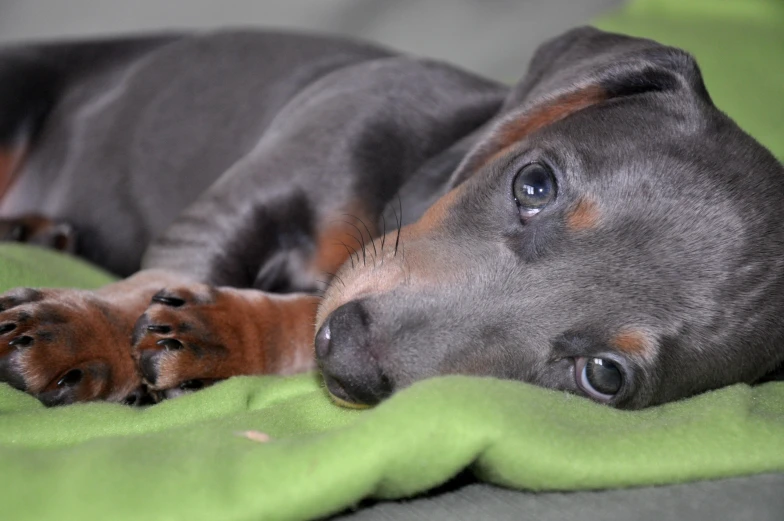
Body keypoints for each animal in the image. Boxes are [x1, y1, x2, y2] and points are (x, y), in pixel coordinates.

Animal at [1, 26, 784, 408]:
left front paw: (226, 334)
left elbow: (305, 312)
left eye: (604, 375)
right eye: (534, 183)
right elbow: (168, 269)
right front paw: (86, 332)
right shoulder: (269, 179)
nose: (347, 356)